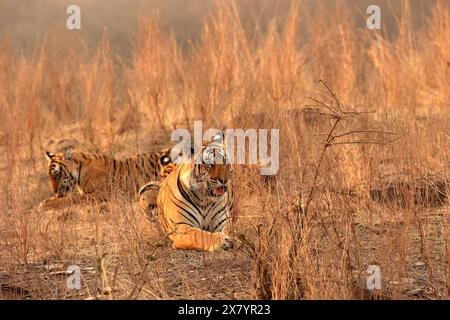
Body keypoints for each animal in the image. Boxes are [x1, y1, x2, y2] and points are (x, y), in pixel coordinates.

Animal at [38, 146, 174, 211]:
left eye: (57, 174)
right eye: (50, 176)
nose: (54, 191)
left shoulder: (97, 194)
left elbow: (70, 199)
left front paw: (44, 205)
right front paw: (46, 201)